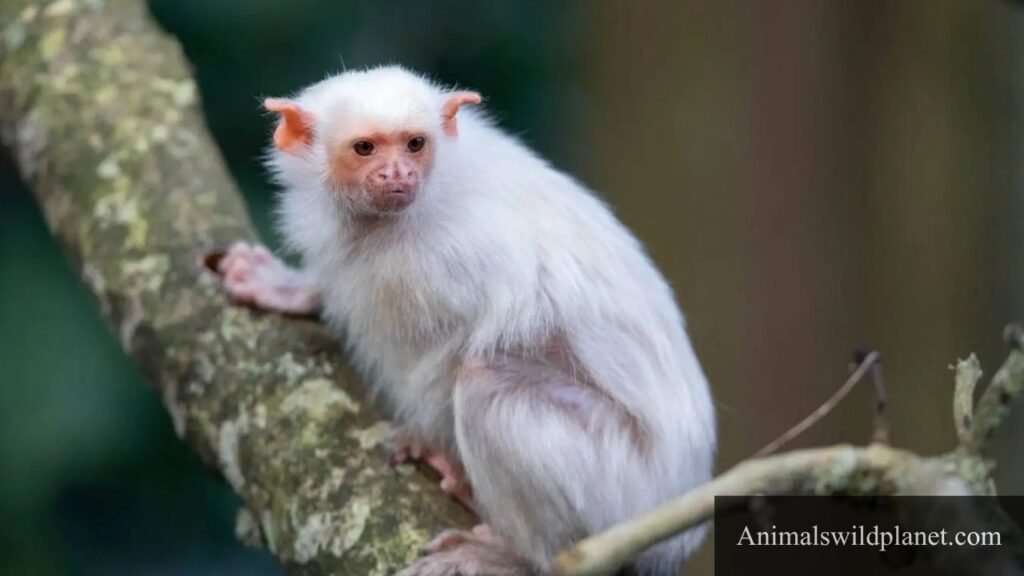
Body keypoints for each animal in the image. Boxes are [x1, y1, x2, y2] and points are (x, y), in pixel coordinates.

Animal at [217, 66, 716, 576]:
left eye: (415, 144)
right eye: (365, 148)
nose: (399, 173)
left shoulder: (455, 256)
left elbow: (463, 341)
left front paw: (421, 435)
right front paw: (290, 288)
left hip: (620, 489)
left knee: (483, 386)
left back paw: (515, 554)